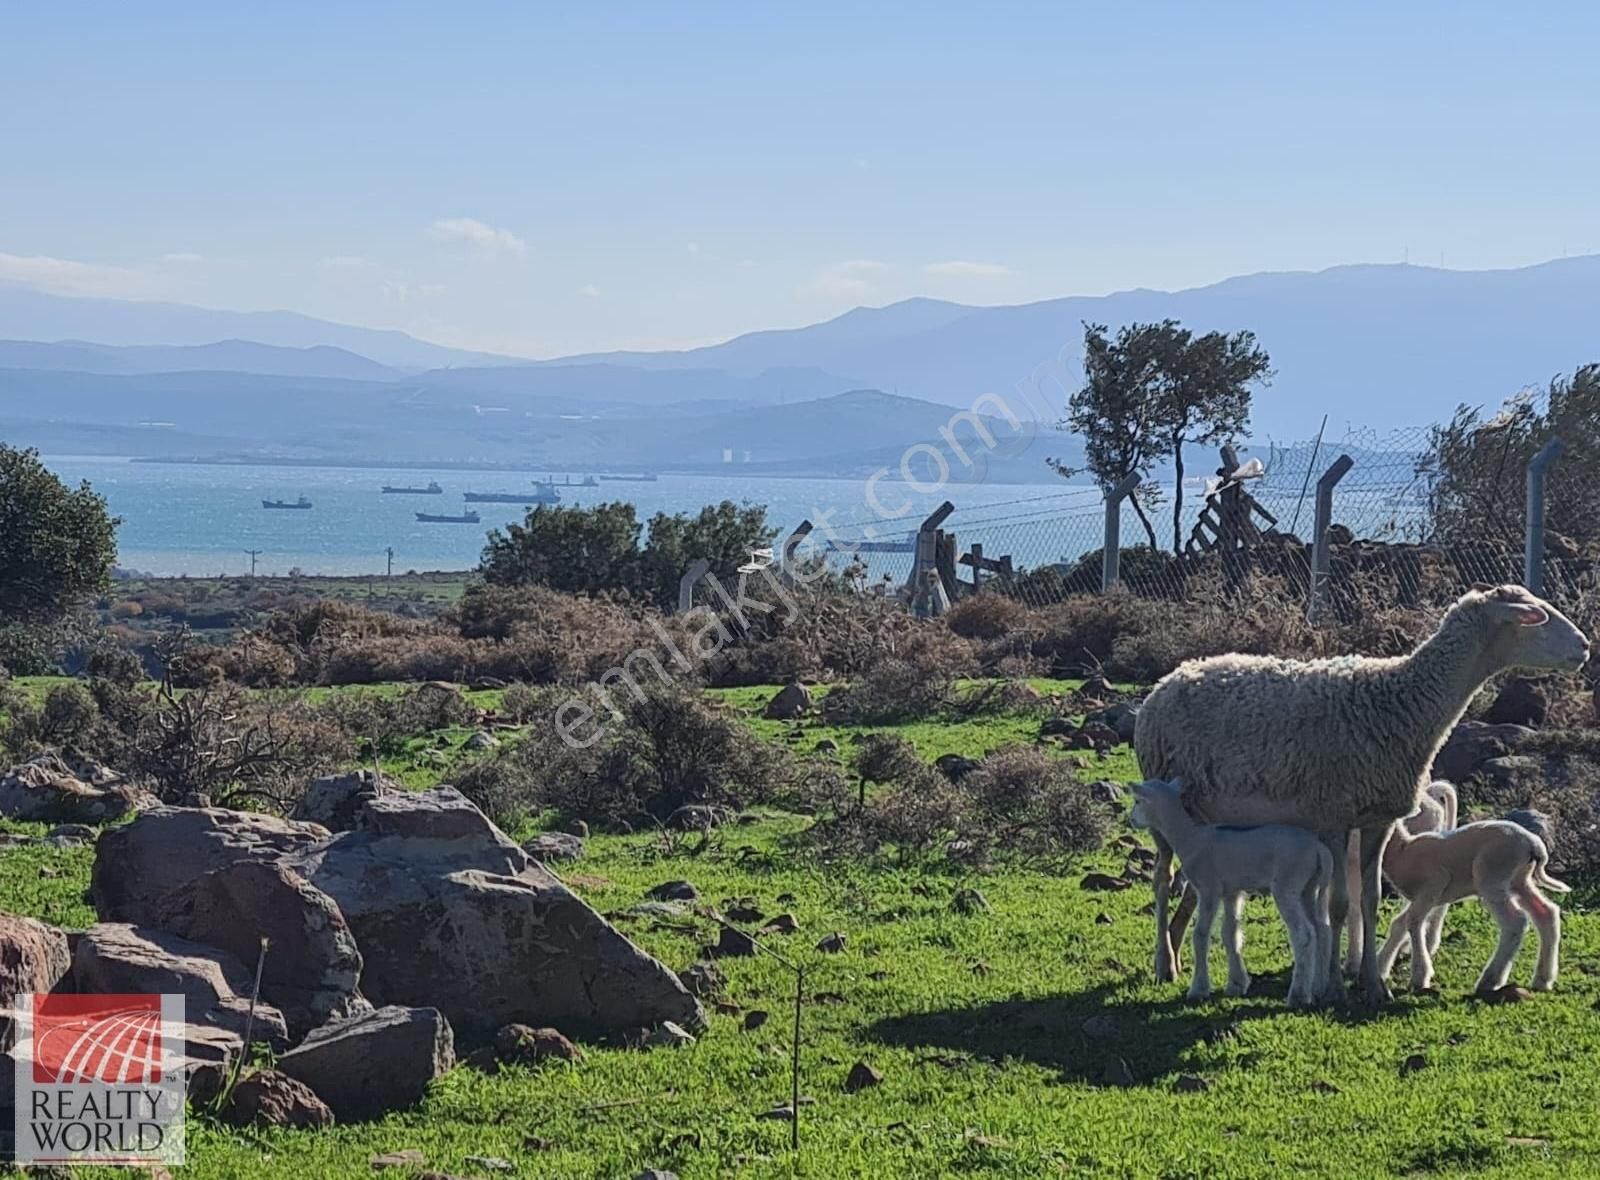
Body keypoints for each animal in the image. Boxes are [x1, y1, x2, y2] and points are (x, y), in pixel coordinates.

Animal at [1126, 773, 1337, 1004]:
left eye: (1137, 801)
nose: (1131, 819)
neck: (1190, 838)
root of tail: (1320, 850)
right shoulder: (1231, 892)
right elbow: (1230, 934)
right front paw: (1236, 985)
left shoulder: (1209, 888)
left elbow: (1200, 935)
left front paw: (1198, 989)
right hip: (1308, 887)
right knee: (1322, 929)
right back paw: (1318, 987)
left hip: (1288, 885)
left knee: (1304, 934)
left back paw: (1298, 995)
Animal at [1369, 812, 1568, 991]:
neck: (1402, 852)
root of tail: (1534, 845)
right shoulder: (1422, 897)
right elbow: (1399, 923)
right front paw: (1380, 968)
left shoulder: (1434, 884)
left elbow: (1413, 921)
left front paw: (1420, 976)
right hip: (1519, 880)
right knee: (1546, 913)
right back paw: (1542, 980)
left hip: (1492, 875)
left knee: (1515, 922)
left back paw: (1490, 980)